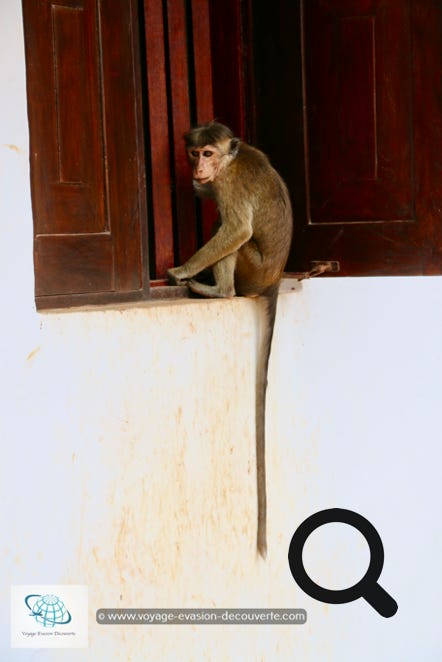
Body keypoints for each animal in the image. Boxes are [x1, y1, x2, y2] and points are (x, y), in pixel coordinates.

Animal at [168, 120, 294, 560]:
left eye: (208, 153)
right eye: (195, 153)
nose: (198, 168)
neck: (231, 160)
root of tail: (273, 281)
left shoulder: (227, 184)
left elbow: (237, 229)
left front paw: (182, 270)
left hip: (251, 271)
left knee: (234, 238)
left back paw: (216, 290)